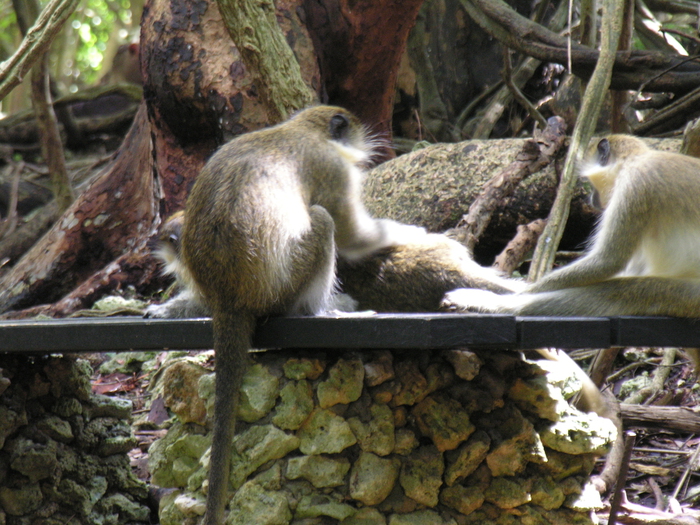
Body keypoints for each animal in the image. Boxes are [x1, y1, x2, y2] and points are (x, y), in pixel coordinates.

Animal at [180, 106, 426, 525]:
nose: (370, 144)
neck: (302, 130)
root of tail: (227, 298)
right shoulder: (333, 168)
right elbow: (353, 237)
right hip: (284, 286)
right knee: (323, 220)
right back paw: (322, 311)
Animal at [442, 134, 700, 320]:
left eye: (591, 184)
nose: (591, 199)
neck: (635, 160)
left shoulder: (634, 186)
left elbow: (607, 262)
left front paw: (521, 292)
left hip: (690, 296)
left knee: (620, 292)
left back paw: (493, 303)